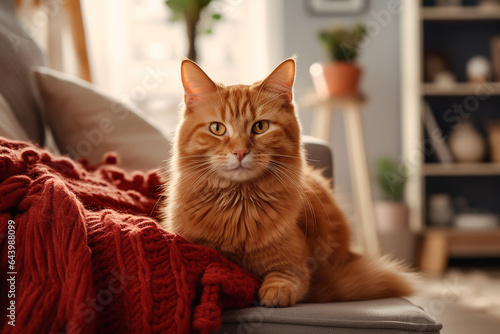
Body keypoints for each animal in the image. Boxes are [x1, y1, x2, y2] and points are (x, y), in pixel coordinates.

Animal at [161, 58, 414, 308]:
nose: (240, 152)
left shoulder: (297, 263)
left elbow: (285, 277)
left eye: (260, 127)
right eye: (217, 128)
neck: (238, 208)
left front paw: (274, 295)